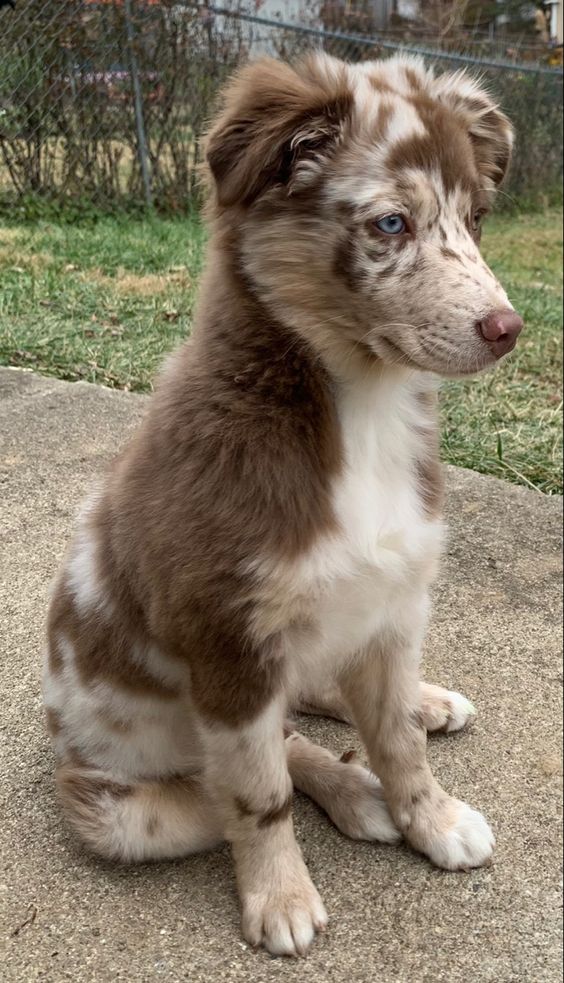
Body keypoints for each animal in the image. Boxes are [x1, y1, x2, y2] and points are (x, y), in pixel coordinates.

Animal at [44, 52, 524, 952]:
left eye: (475, 218)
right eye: (391, 224)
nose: (507, 328)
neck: (358, 414)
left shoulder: (398, 600)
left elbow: (399, 740)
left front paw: (433, 817)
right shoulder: (228, 642)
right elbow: (260, 795)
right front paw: (282, 896)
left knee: (325, 700)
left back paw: (424, 707)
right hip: (111, 803)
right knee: (273, 750)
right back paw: (350, 790)